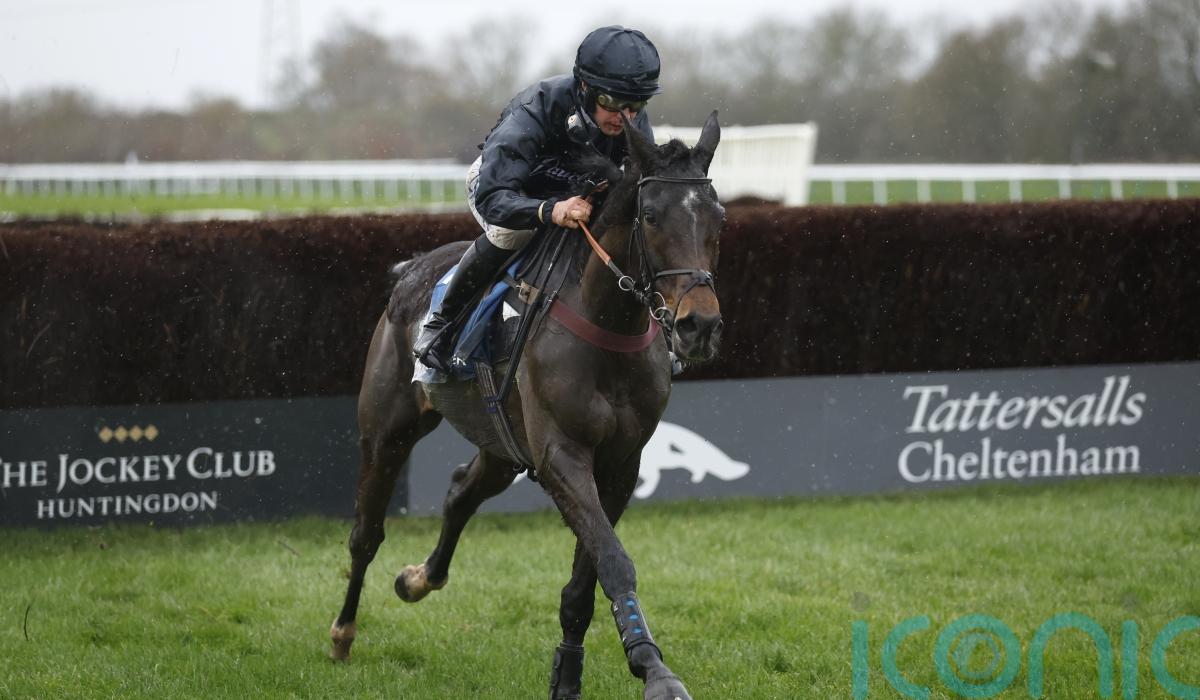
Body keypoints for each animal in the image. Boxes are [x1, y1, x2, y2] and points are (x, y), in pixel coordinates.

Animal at [329, 111, 725, 700]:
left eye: (718, 217)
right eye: (651, 216)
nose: (699, 326)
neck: (607, 325)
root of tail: (410, 271)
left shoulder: (620, 464)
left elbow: (587, 578)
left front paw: (572, 672)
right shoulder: (561, 454)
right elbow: (613, 559)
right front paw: (655, 670)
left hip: (502, 445)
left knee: (460, 493)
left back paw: (418, 579)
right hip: (387, 430)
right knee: (365, 533)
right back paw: (342, 633)